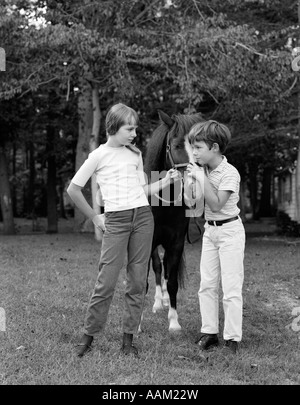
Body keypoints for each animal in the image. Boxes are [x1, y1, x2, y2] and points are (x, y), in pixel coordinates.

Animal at [143, 108, 204, 332]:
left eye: (197, 146)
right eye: (177, 145)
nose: (194, 185)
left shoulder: (176, 243)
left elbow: (172, 283)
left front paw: (174, 322)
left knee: (167, 271)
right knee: (158, 268)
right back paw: (158, 303)